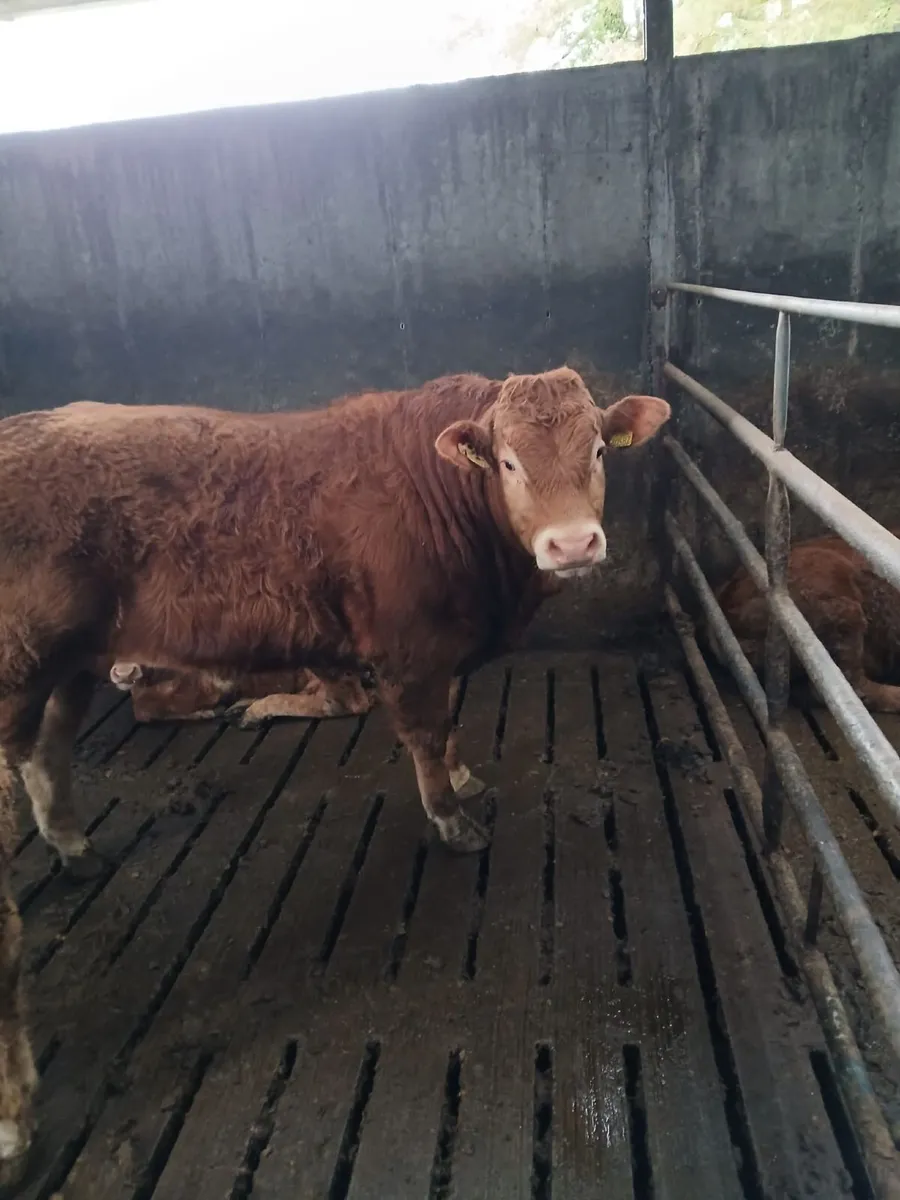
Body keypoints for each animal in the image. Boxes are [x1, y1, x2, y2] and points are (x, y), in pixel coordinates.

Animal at [0, 367, 669, 1180]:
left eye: (599, 449)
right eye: (509, 463)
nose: (572, 542)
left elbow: (450, 717)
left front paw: (463, 778)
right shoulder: (410, 649)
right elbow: (425, 730)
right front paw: (451, 818)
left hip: (71, 662)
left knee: (50, 747)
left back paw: (74, 846)